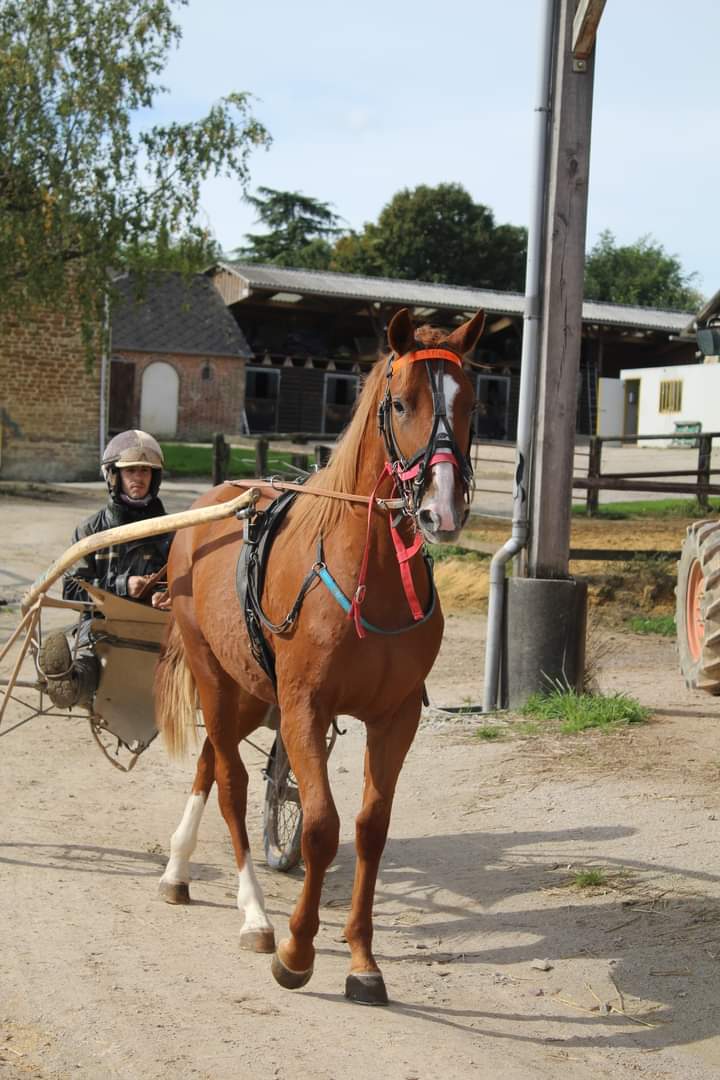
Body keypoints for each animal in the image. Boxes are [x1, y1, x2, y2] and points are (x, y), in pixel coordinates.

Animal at [154, 306, 485, 1004]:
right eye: (400, 401)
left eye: (471, 402)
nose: (442, 509)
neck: (369, 572)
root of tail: (215, 499)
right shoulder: (304, 706)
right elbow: (319, 827)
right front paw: (297, 950)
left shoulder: (395, 718)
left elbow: (369, 828)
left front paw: (362, 958)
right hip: (215, 675)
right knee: (230, 783)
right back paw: (254, 914)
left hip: (250, 690)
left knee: (208, 763)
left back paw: (177, 869)